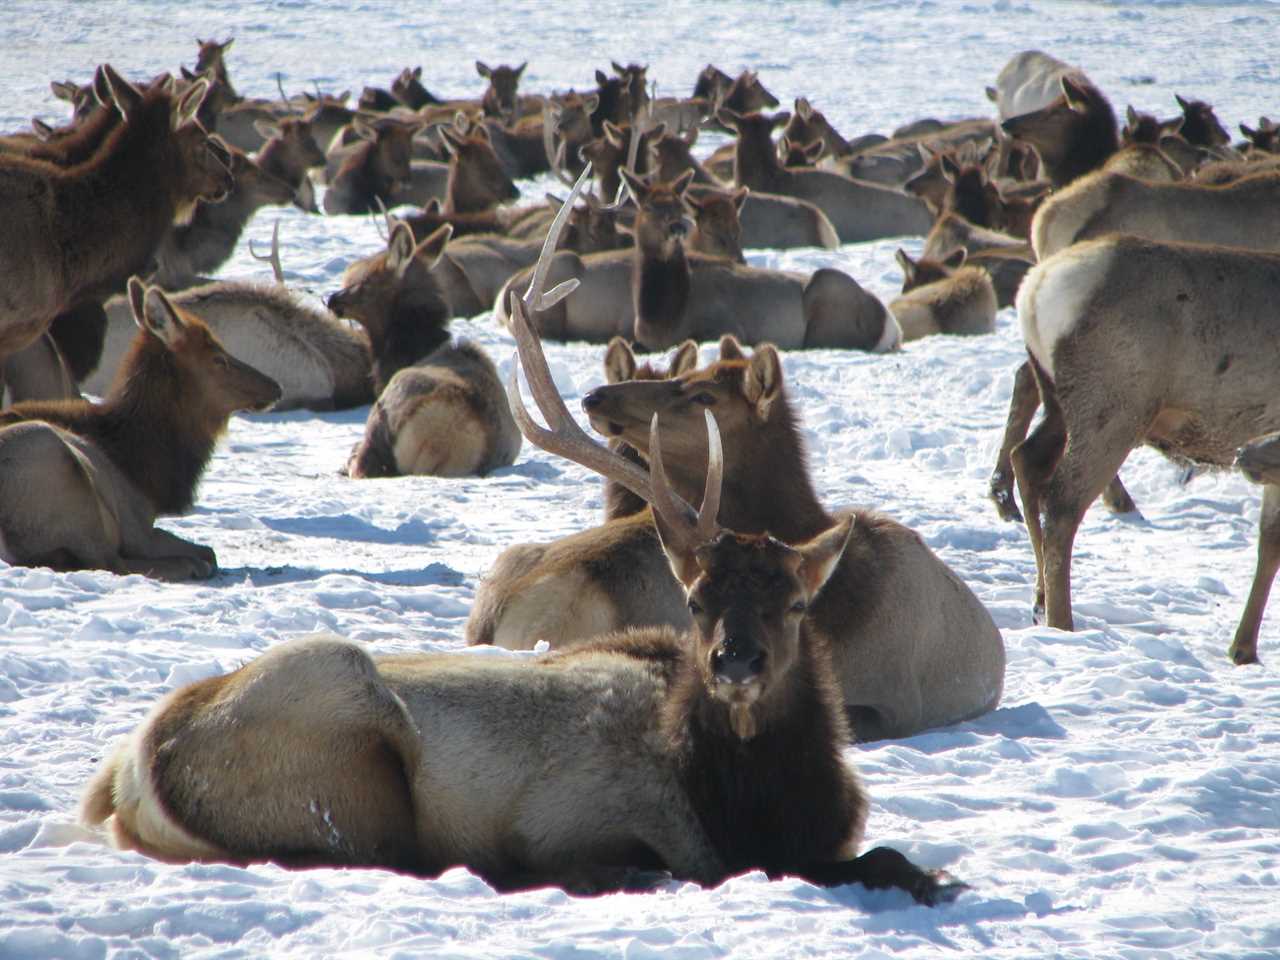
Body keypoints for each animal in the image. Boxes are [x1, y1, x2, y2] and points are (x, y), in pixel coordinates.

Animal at [494, 168, 896, 353]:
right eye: (650, 206)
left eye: (678, 204)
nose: (678, 227)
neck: (662, 315)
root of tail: (889, 323)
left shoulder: (727, 326)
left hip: (828, 297)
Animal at [1008, 236, 1280, 665]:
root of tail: (1033, 292)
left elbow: (1269, 540)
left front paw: (1243, 649)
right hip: (1114, 406)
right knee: (1063, 500)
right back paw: (1062, 621)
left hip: (1059, 403)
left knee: (1028, 461)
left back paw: (1039, 602)